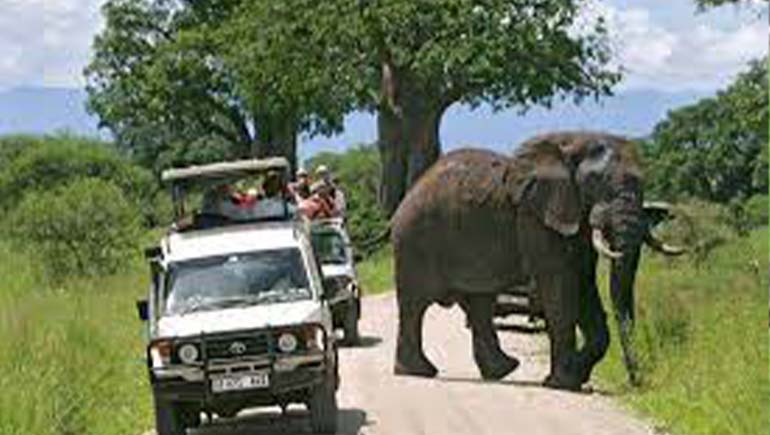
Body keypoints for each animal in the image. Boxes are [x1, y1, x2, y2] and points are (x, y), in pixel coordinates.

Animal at [390, 131, 680, 390]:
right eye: (596, 182)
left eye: (643, 183)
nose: (636, 382)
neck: (576, 140)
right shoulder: (536, 217)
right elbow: (560, 286)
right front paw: (564, 383)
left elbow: (584, 283)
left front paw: (577, 375)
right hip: (414, 240)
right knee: (415, 304)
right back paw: (419, 371)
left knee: (479, 302)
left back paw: (501, 370)